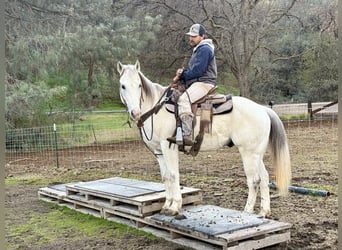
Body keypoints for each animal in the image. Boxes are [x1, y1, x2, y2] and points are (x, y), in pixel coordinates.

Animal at [117, 60, 292, 217]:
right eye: (123, 86)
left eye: (139, 85)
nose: (135, 113)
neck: (156, 109)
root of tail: (263, 109)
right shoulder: (159, 152)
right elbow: (166, 177)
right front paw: (166, 205)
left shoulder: (168, 147)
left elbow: (173, 175)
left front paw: (175, 207)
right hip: (256, 154)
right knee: (264, 178)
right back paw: (264, 211)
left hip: (248, 153)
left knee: (254, 180)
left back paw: (247, 211)